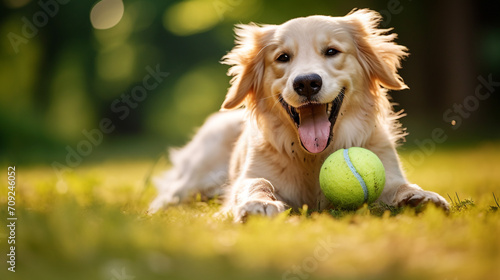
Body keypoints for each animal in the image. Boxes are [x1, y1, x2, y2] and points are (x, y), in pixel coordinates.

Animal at [148, 9, 450, 222]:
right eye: (283, 57)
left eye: (331, 51)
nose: (306, 83)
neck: (313, 158)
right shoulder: (249, 178)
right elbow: (257, 183)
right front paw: (259, 203)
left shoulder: (388, 171)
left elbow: (399, 186)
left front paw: (420, 197)